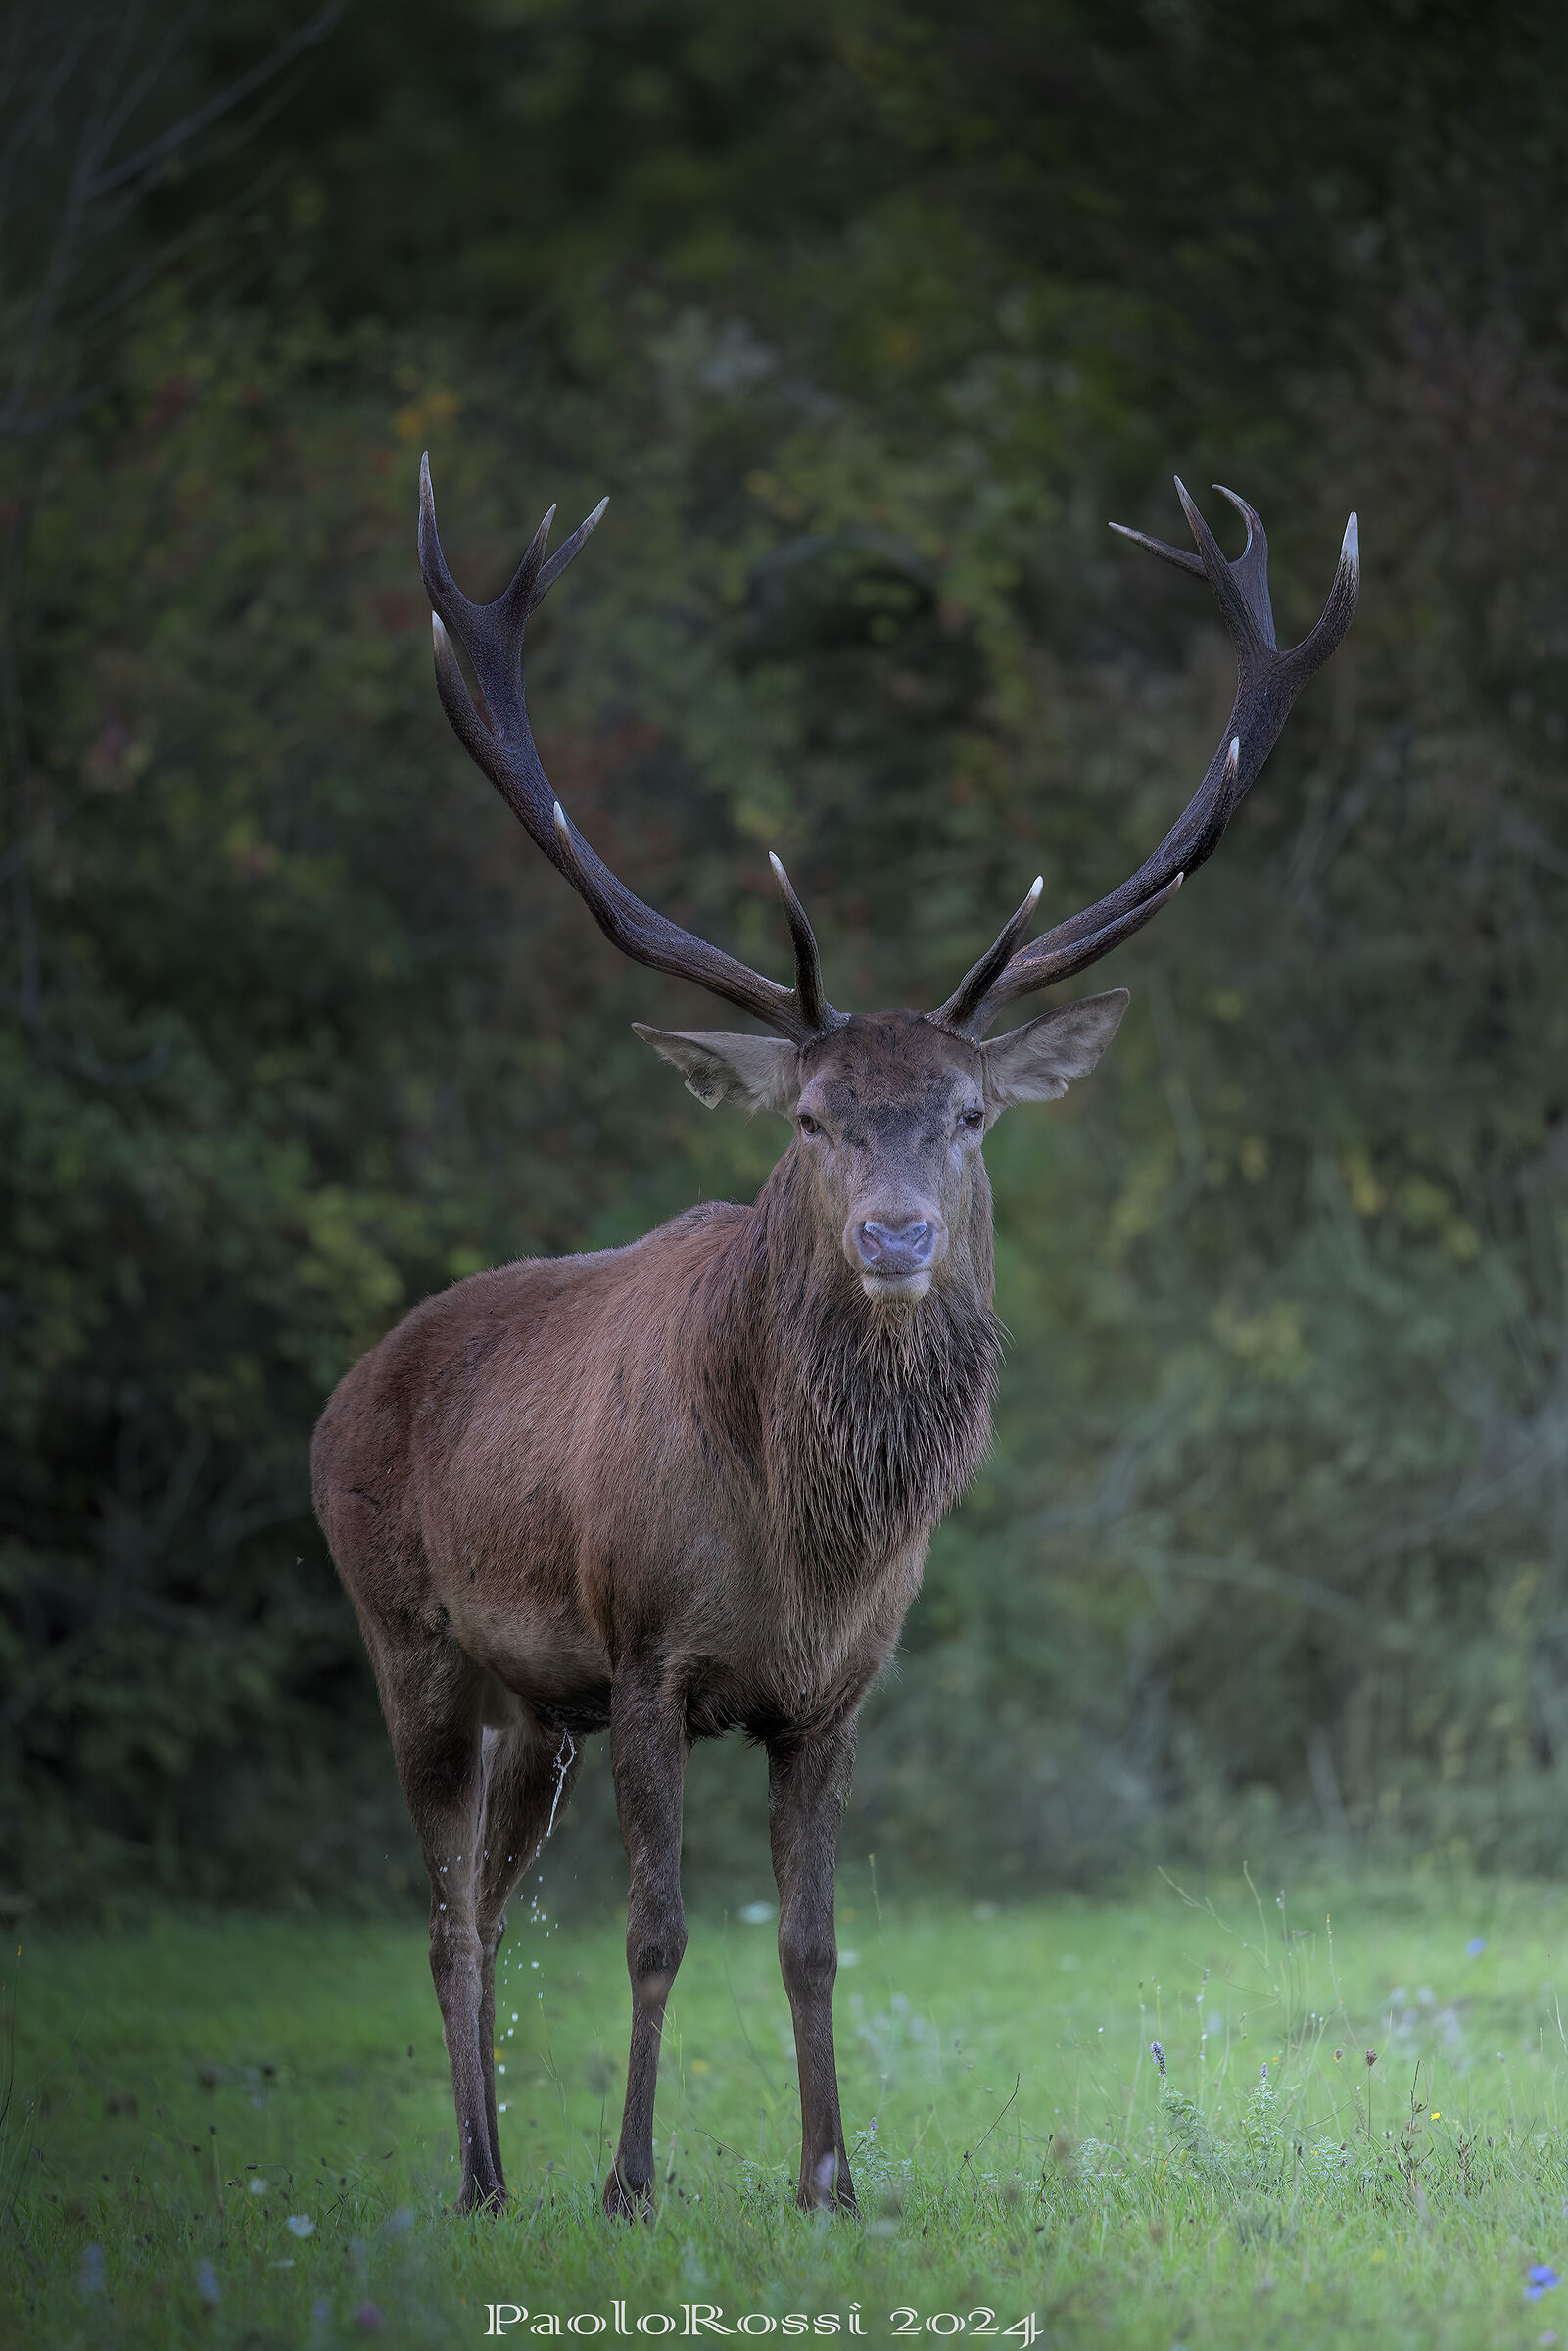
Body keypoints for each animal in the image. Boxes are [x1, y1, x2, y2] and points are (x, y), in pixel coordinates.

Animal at [311, 461, 1357, 2218]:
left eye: (972, 1113)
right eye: (808, 1117)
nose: (894, 1236)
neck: (806, 1544)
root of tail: (349, 1387)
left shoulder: (838, 1693)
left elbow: (811, 1943)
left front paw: (831, 2180)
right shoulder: (646, 1653)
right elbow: (659, 1933)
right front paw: (634, 2183)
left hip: (535, 1708)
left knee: (493, 1904)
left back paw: (497, 2163)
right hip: (412, 1636)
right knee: (447, 1912)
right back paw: (483, 2182)